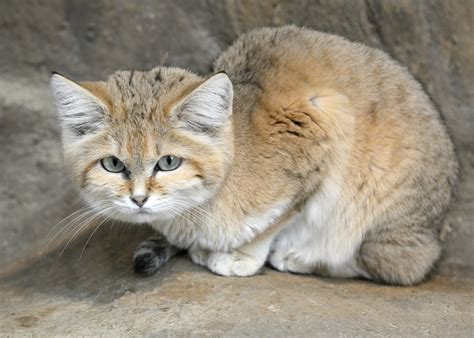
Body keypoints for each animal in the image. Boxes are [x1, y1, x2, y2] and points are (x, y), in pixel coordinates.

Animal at [50, 25, 458, 286]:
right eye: (113, 164)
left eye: (167, 163)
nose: (138, 199)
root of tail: (438, 229)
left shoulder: (323, 132)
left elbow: (272, 223)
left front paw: (241, 255)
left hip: (384, 235)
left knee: (392, 267)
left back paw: (302, 258)